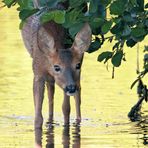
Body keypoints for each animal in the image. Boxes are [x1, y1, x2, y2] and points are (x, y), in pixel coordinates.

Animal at [21, 0, 91, 129]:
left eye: (77, 65)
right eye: (57, 67)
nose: (70, 87)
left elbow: (66, 109)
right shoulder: (37, 72)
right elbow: (38, 117)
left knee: (77, 94)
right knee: (51, 90)